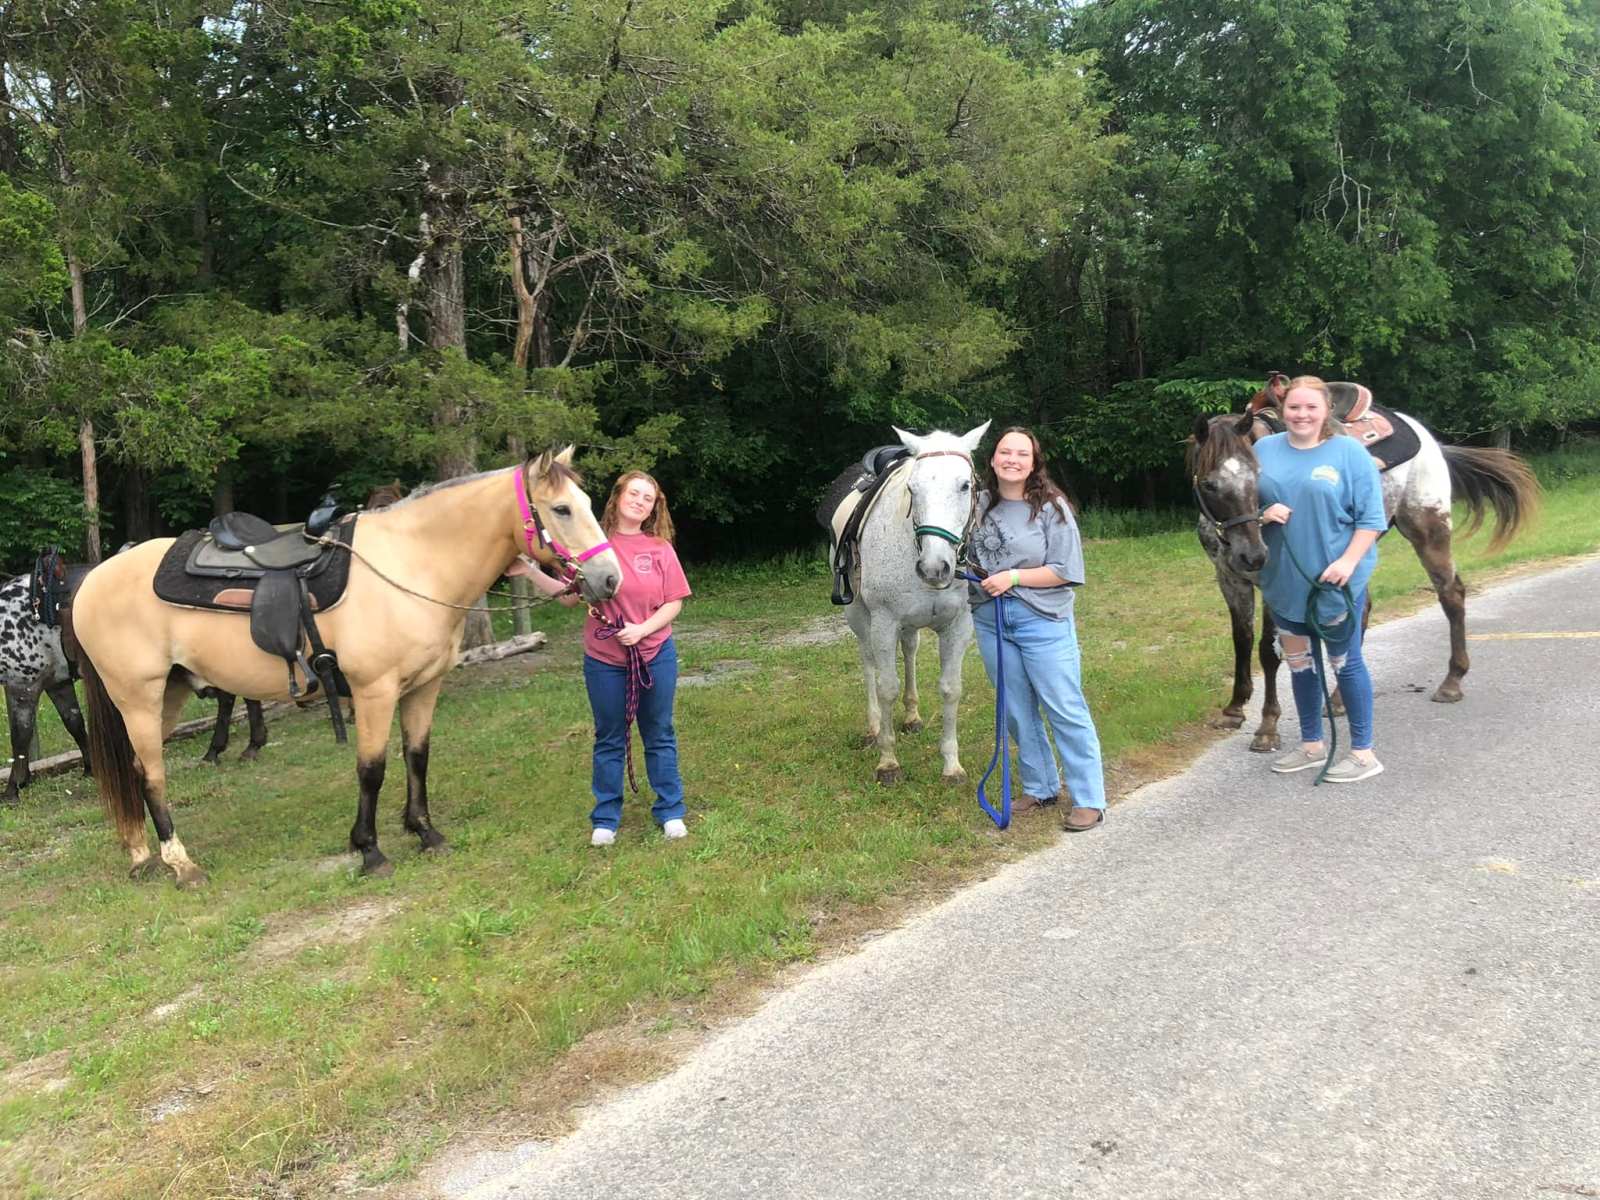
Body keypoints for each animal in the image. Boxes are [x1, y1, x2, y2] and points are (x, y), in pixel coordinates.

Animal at [67, 449, 621, 885]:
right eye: (562, 509)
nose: (609, 579)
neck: (412, 564)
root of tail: (94, 578)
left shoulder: (423, 687)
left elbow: (417, 756)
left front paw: (425, 832)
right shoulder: (375, 691)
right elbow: (371, 770)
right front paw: (369, 850)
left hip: (170, 692)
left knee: (135, 768)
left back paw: (141, 855)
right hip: (137, 697)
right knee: (153, 776)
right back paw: (181, 865)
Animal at [831, 422, 989, 785]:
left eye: (965, 485)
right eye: (913, 489)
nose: (934, 568)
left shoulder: (958, 626)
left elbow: (950, 689)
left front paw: (951, 765)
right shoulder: (884, 622)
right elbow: (887, 687)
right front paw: (888, 763)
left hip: (909, 626)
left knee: (911, 650)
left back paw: (912, 716)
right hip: (859, 618)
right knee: (868, 663)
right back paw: (875, 727)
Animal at [1189, 382, 1538, 752]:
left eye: (1258, 476)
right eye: (1209, 484)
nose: (1254, 556)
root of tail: (1428, 439)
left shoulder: (1277, 582)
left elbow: (1270, 650)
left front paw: (1268, 725)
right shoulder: (1229, 578)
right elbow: (1241, 640)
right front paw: (1234, 709)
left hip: (1429, 532)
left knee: (1451, 594)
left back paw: (1451, 682)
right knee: (1362, 613)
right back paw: (1340, 698)